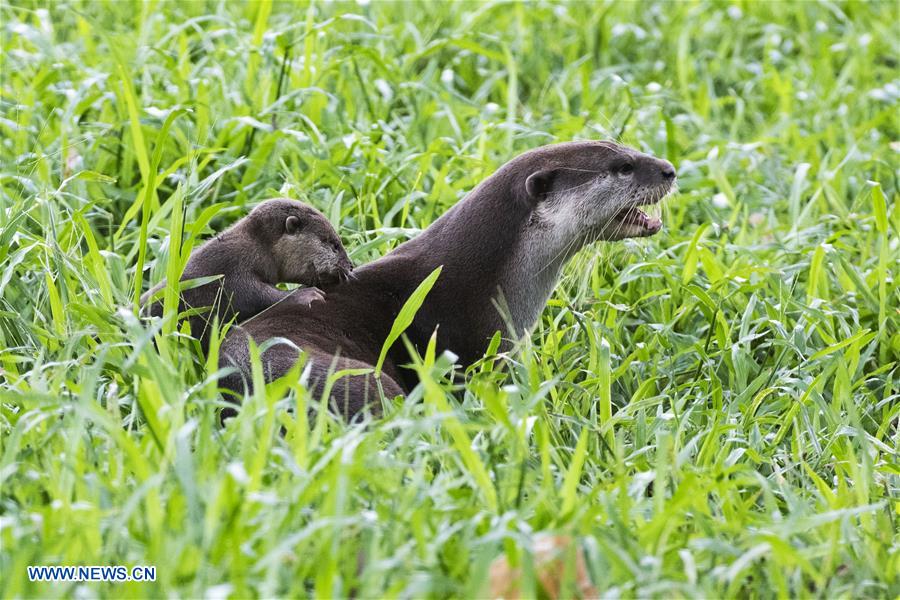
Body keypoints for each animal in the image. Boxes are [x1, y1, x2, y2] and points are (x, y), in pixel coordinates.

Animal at [142, 197, 354, 346]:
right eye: (334, 245)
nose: (350, 265)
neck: (256, 249)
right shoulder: (231, 270)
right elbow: (255, 296)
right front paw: (305, 294)